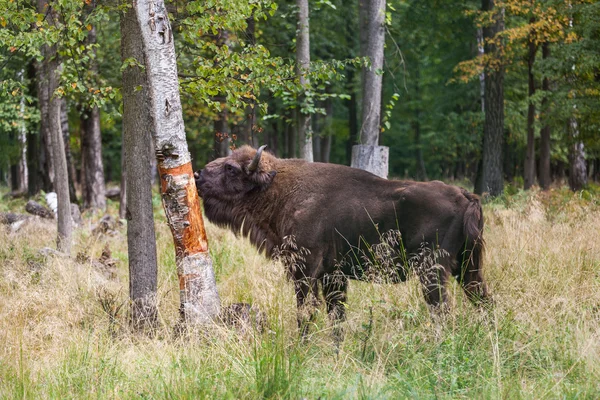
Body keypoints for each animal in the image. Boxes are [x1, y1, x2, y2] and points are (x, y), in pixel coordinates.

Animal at [195, 145, 490, 340]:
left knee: (441, 309)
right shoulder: (333, 276)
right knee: (482, 300)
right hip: (467, 267)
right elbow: (336, 316)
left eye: (231, 169)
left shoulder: (305, 271)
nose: (198, 176)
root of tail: (465, 196)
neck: (280, 190)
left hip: (432, 271)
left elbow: (305, 312)